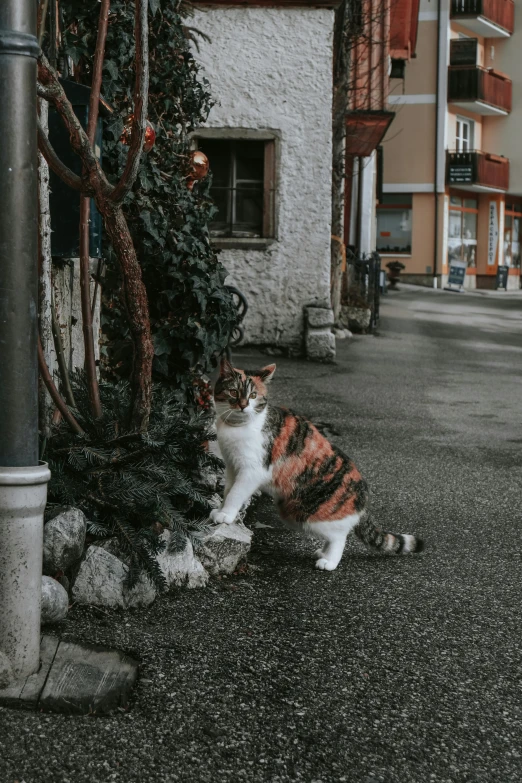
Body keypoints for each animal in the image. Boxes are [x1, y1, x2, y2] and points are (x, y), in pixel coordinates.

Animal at [211, 360, 422, 568]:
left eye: (253, 395)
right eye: (234, 392)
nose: (243, 406)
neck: (236, 426)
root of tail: (363, 494)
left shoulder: (252, 471)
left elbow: (236, 494)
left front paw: (226, 515)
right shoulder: (232, 466)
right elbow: (227, 491)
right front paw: (221, 510)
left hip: (306, 515)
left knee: (340, 536)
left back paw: (329, 561)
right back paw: (323, 552)